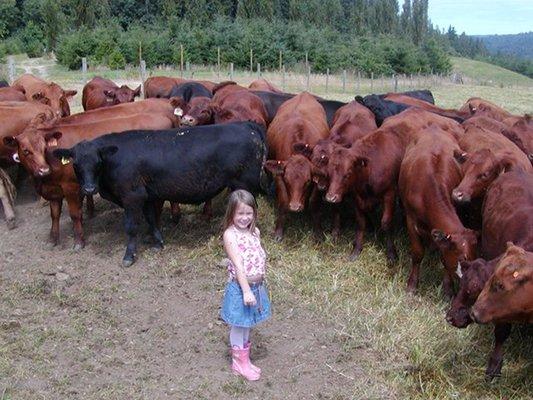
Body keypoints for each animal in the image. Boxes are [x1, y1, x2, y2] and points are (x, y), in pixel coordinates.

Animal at [55, 121, 266, 266]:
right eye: (75, 164)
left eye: (98, 162)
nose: (89, 189)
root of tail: (245, 125)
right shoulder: (147, 196)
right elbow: (150, 219)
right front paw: (158, 243)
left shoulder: (132, 196)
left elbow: (131, 226)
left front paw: (129, 256)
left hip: (245, 183)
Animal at [262, 92, 328, 239]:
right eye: (287, 180)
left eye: (308, 181)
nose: (295, 206)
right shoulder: (278, 176)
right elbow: (283, 202)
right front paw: (278, 232)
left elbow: (314, 203)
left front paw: (318, 232)